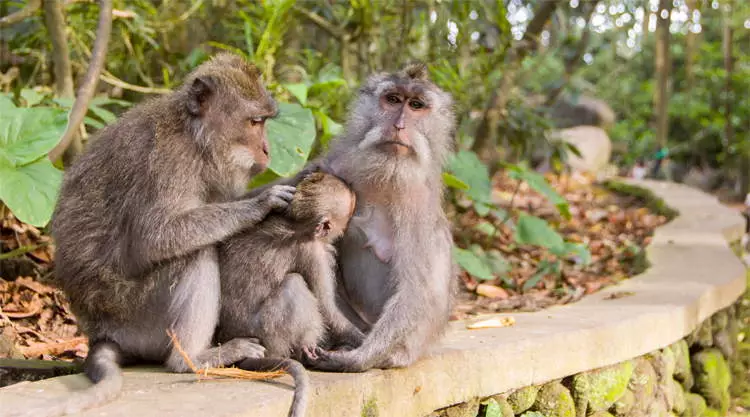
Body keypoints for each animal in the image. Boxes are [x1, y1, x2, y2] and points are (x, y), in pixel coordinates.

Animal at [6, 53, 295, 417]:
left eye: (265, 121)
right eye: (255, 122)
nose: (268, 150)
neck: (193, 136)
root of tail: (102, 334)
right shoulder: (170, 161)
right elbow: (155, 237)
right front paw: (260, 204)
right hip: (139, 317)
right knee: (194, 255)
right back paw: (193, 359)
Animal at [300, 63, 458, 372]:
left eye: (416, 105)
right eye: (393, 100)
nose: (399, 126)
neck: (385, 176)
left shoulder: (417, 205)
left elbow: (417, 291)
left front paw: (356, 359)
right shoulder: (334, 165)